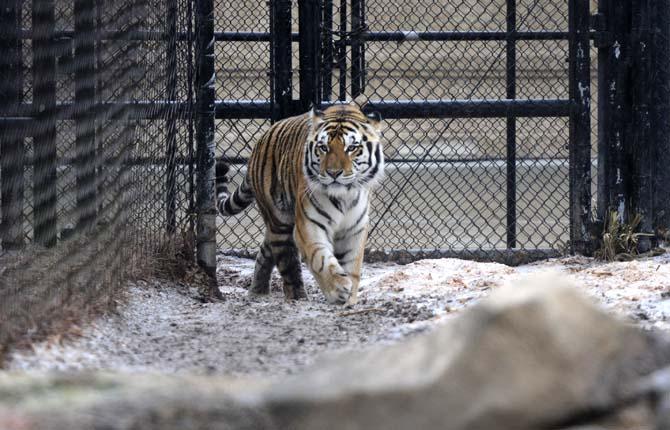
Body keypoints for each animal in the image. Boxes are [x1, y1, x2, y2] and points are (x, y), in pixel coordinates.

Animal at [215, 103, 384, 306]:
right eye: (323, 147)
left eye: (351, 148)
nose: (333, 173)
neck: (344, 196)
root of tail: (259, 142)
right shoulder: (309, 225)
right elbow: (320, 258)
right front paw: (339, 289)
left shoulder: (355, 228)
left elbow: (353, 264)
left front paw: (350, 298)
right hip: (280, 222)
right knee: (287, 263)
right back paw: (297, 297)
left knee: (265, 250)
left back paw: (257, 292)